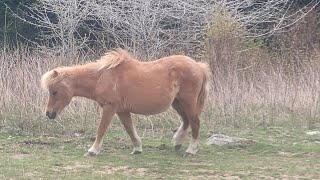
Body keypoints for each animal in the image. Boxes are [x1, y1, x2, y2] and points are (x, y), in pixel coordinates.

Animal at [41, 48, 212, 157]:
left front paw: (93, 150)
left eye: (54, 91)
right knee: (186, 121)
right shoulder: (122, 110)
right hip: (177, 103)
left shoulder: (109, 108)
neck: (102, 77)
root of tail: (199, 66)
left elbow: (101, 129)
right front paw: (137, 148)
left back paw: (190, 150)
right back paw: (177, 143)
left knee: (195, 122)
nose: (49, 114)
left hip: (188, 102)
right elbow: (129, 129)